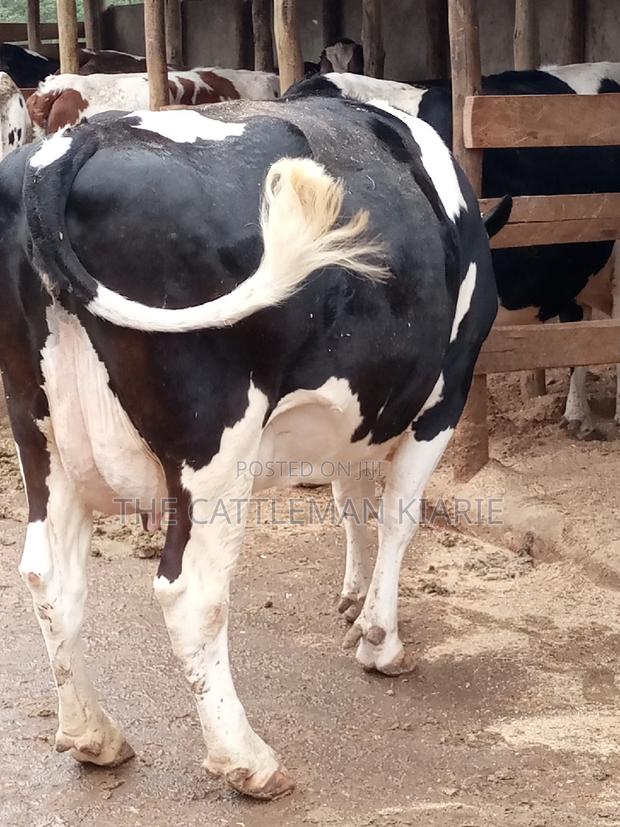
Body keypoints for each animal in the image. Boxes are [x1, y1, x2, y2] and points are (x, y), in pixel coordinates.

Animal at [0, 96, 507, 798]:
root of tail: (70, 143)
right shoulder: (446, 396)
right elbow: (398, 517)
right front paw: (380, 640)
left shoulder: (357, 414)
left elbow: (352, 503)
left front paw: (354, 604)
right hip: (215, 442)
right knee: (191, 594)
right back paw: (247, 759)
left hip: (39, 434)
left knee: (49, 575)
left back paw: (93, 736)